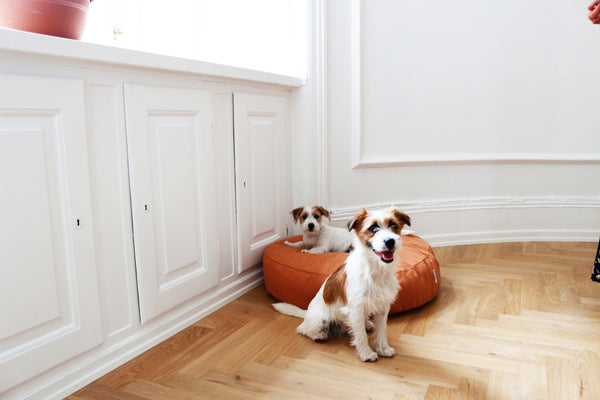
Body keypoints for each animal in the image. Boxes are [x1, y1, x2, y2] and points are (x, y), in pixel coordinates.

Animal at [274, 208, 410, 360]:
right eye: (373, 228)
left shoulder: (383, 307)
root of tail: (307, 313)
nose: (390, 241)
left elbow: (382, 331)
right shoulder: (356, 308)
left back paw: (367, 323)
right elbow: (361, 335)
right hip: (320, 320)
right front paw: (366, 353)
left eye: (394, 226)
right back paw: (318, 335)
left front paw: (383, 348)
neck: (374, 268)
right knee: (303, 328)